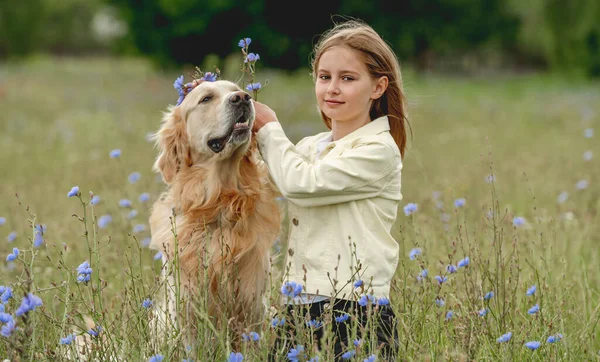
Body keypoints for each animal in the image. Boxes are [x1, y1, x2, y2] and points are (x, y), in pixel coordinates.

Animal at [149, 80, 282, 348]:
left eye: (236, 89)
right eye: (206, 99)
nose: (242, 98)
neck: (219, 204)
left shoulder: (251, 306)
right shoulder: (186, 308)